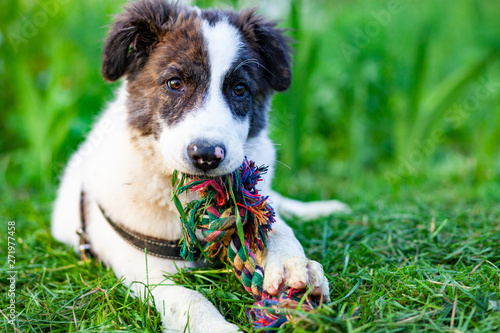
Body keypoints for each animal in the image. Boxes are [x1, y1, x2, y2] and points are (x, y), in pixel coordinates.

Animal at [50, 1, 348, 330]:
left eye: (240, 89)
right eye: (175, 83)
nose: (206, 155)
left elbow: (273, 225)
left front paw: (293, 266)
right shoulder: (141, 265)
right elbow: (185, 298)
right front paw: (217, 327)